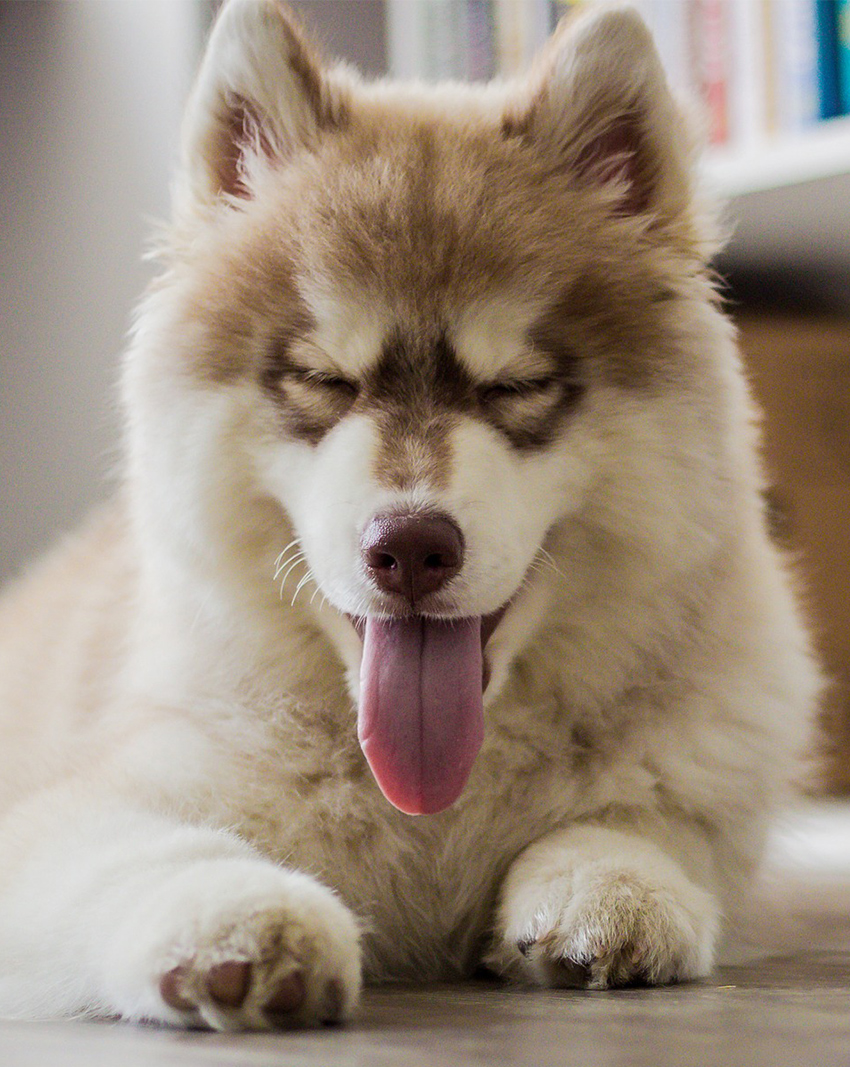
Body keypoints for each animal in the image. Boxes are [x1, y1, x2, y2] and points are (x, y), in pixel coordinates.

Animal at [1, 0, 823, 1032]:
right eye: (324, 379)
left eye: (516, 384)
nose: (411, 548)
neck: (430, 809)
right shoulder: (75, 803)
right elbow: (152, 850)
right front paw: (240, 912)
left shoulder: (714, 786)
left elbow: (649, 820)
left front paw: (611, 881)